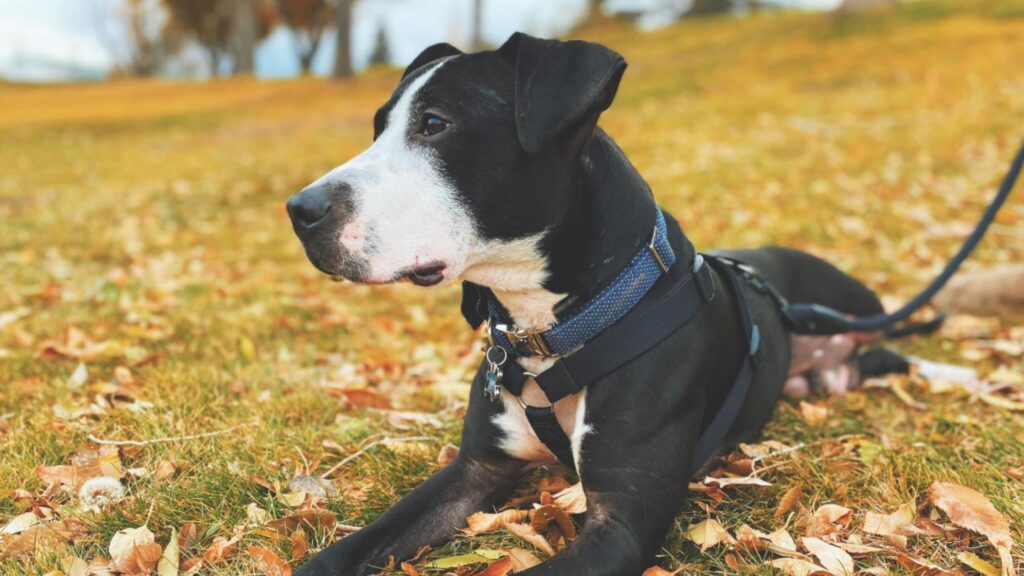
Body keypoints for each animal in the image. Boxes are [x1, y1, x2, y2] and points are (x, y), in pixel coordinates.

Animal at [286, 32, 913, 573]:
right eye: (377, 129)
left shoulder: (621, 526)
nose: (299, 210)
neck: (550, 331)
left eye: (434, 124)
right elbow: (344, 551)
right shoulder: (474, 470)